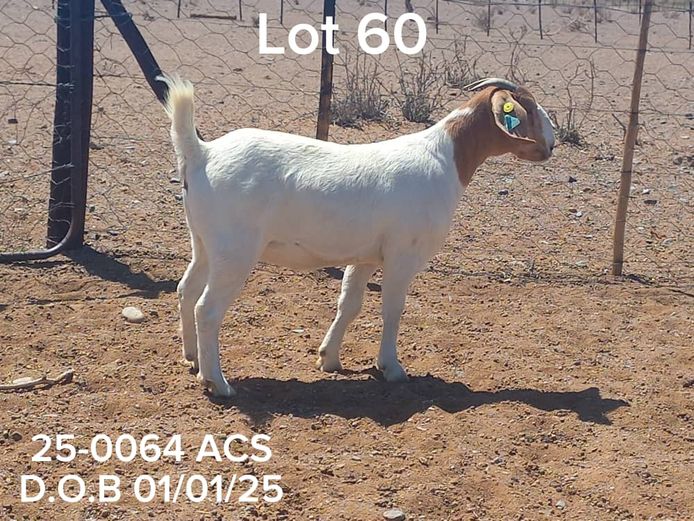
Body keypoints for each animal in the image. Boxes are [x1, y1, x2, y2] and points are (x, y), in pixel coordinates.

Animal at [158, 75, 555, 397]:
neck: (446, 157)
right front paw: (391, 367)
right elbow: (393, 308)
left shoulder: (364, 256)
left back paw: (192, 358)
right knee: (207, 309)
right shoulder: (402, 254)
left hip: (204, 242)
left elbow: (350, 304)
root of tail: (203, 152)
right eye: (529, 107)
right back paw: (217, 382)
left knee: (186, 289)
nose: (551, 144)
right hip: (235, 251)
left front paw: (328, 358)